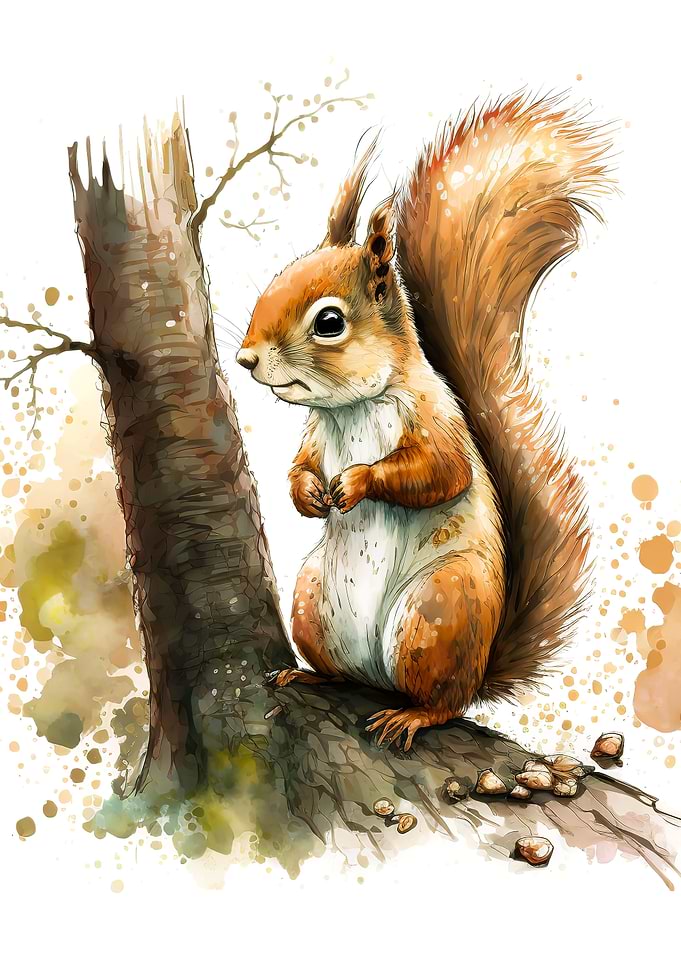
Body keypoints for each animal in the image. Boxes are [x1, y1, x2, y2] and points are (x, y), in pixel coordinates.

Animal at [236, 93, 612, 749]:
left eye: (328, 322)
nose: (246, 358)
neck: (353, 406)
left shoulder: (436, 422)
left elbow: (441, 472)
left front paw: (356, 482)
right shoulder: (314, 436)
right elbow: (300, 466)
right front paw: (310, 495)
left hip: (439, 613)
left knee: (445, 699)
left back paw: (413, 714)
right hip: (312, 600)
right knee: (345, 671)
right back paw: (313, 676)